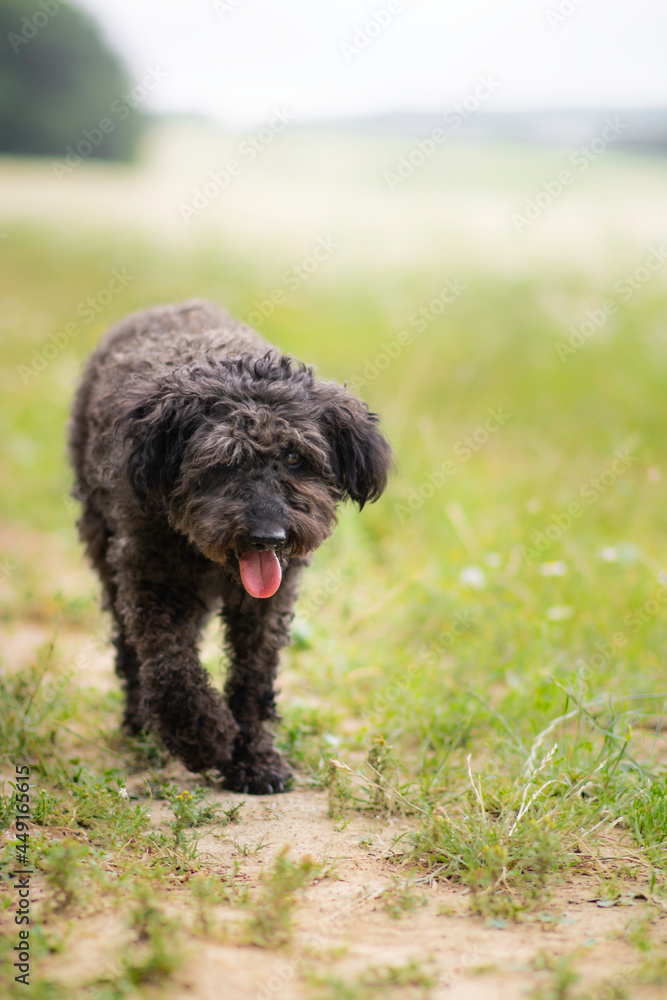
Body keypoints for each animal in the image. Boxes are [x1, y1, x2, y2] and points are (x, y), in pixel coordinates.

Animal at [68, 300, 392, 792]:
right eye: (224, 461)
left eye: (294, 456)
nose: (267, 536)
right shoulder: (148, 575)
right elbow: (171, 668)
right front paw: (205, 741)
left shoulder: (268, 602)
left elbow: (253, 678)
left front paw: (254, 760)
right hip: (102, 542)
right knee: (129, 647)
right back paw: (139, 722)